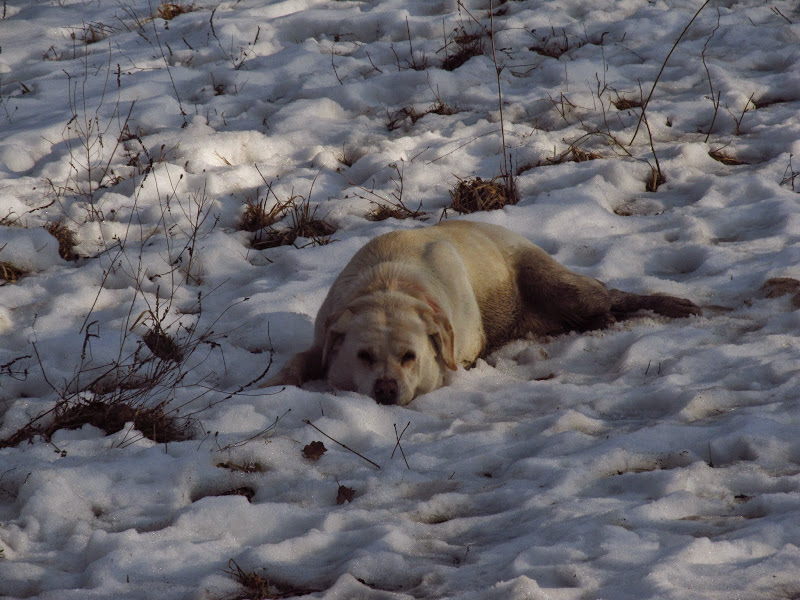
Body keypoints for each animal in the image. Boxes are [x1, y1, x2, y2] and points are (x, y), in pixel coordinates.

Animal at [262, 221, 700, 408]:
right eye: (363, 356)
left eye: (409, 357)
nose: (386, 390)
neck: (388, 285)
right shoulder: (324, 334)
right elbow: (298, 360)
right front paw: (275, 384)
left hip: (554, 282)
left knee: (608, 297)